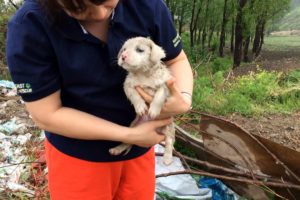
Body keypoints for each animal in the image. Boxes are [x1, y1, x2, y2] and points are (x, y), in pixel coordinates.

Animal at [109, 36, 176, 165]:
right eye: (124, 49)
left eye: (139, 50)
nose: (123, 56)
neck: (143, 73)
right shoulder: (128, 85)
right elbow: (134, 95)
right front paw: (140, 107)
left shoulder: (164, 85)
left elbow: (159, 96)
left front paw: (154, 110)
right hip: (133, 127)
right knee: (128, 142)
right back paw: (117, 149)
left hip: (169, 128)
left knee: (169, 142)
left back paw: (167, 158)